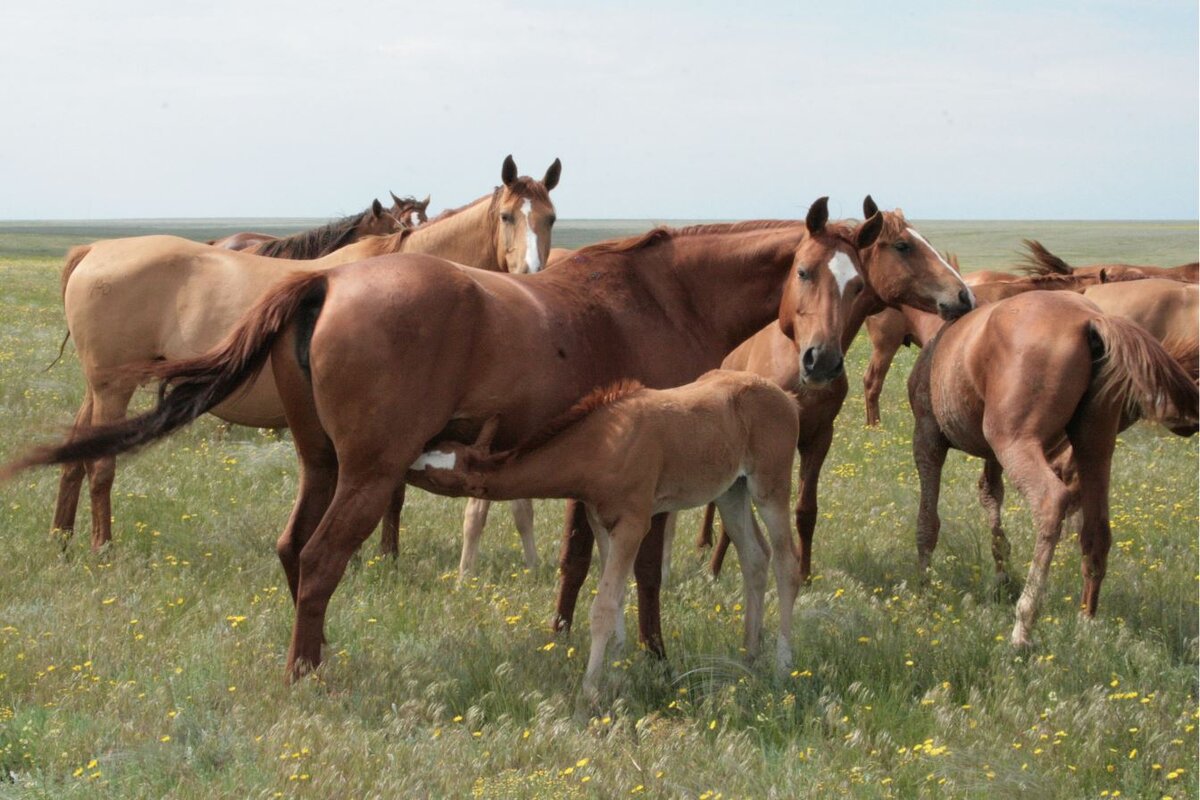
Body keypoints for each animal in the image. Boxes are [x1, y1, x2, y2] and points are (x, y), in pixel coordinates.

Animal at [51, 155, 561, 551]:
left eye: (551, 217)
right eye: (507, 216)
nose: (532, 273)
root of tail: (94, 250)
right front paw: (380, 557)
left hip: (98, 389)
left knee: (76, 452)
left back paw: (62, 537)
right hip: (114, 388)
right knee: (101, 464)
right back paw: (102, 546)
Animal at [417, 371, 801, 695]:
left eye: (435, 475)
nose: (409, 464)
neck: (604, 443)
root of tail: (787, 398)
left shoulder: (633, 523)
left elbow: (602, 606)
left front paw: (588, 695)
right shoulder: (602, 522)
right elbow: (615, 598)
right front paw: (617, 680)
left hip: (770, 487)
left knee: (786, 564)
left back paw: (782, 667)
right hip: (731, 492)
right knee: (755, 558)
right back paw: (748, 659)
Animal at [902, 291, 1195, 647]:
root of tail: (1089, 319)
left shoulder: (928, 439)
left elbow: (927, 522)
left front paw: (925, 591)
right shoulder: (992, 455)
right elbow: (990, 497)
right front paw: (1001, 575)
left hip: (1017, 444)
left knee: (1051, 502)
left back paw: (1023, 627)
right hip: (1093, 449)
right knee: (1096, 530)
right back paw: (1086, 623)